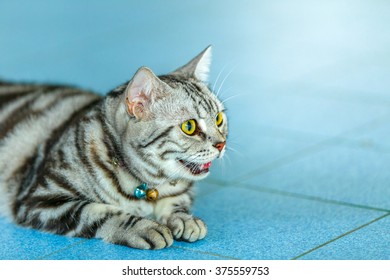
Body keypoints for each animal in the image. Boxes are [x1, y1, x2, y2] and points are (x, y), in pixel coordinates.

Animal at [0, 46, 227, 249]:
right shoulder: (40, 198)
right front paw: (142, 227)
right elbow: (98, 211)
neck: (147, 184)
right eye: (189, 127)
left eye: (218, 119)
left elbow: (177, 201)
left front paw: (184, 218)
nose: (221, 143)